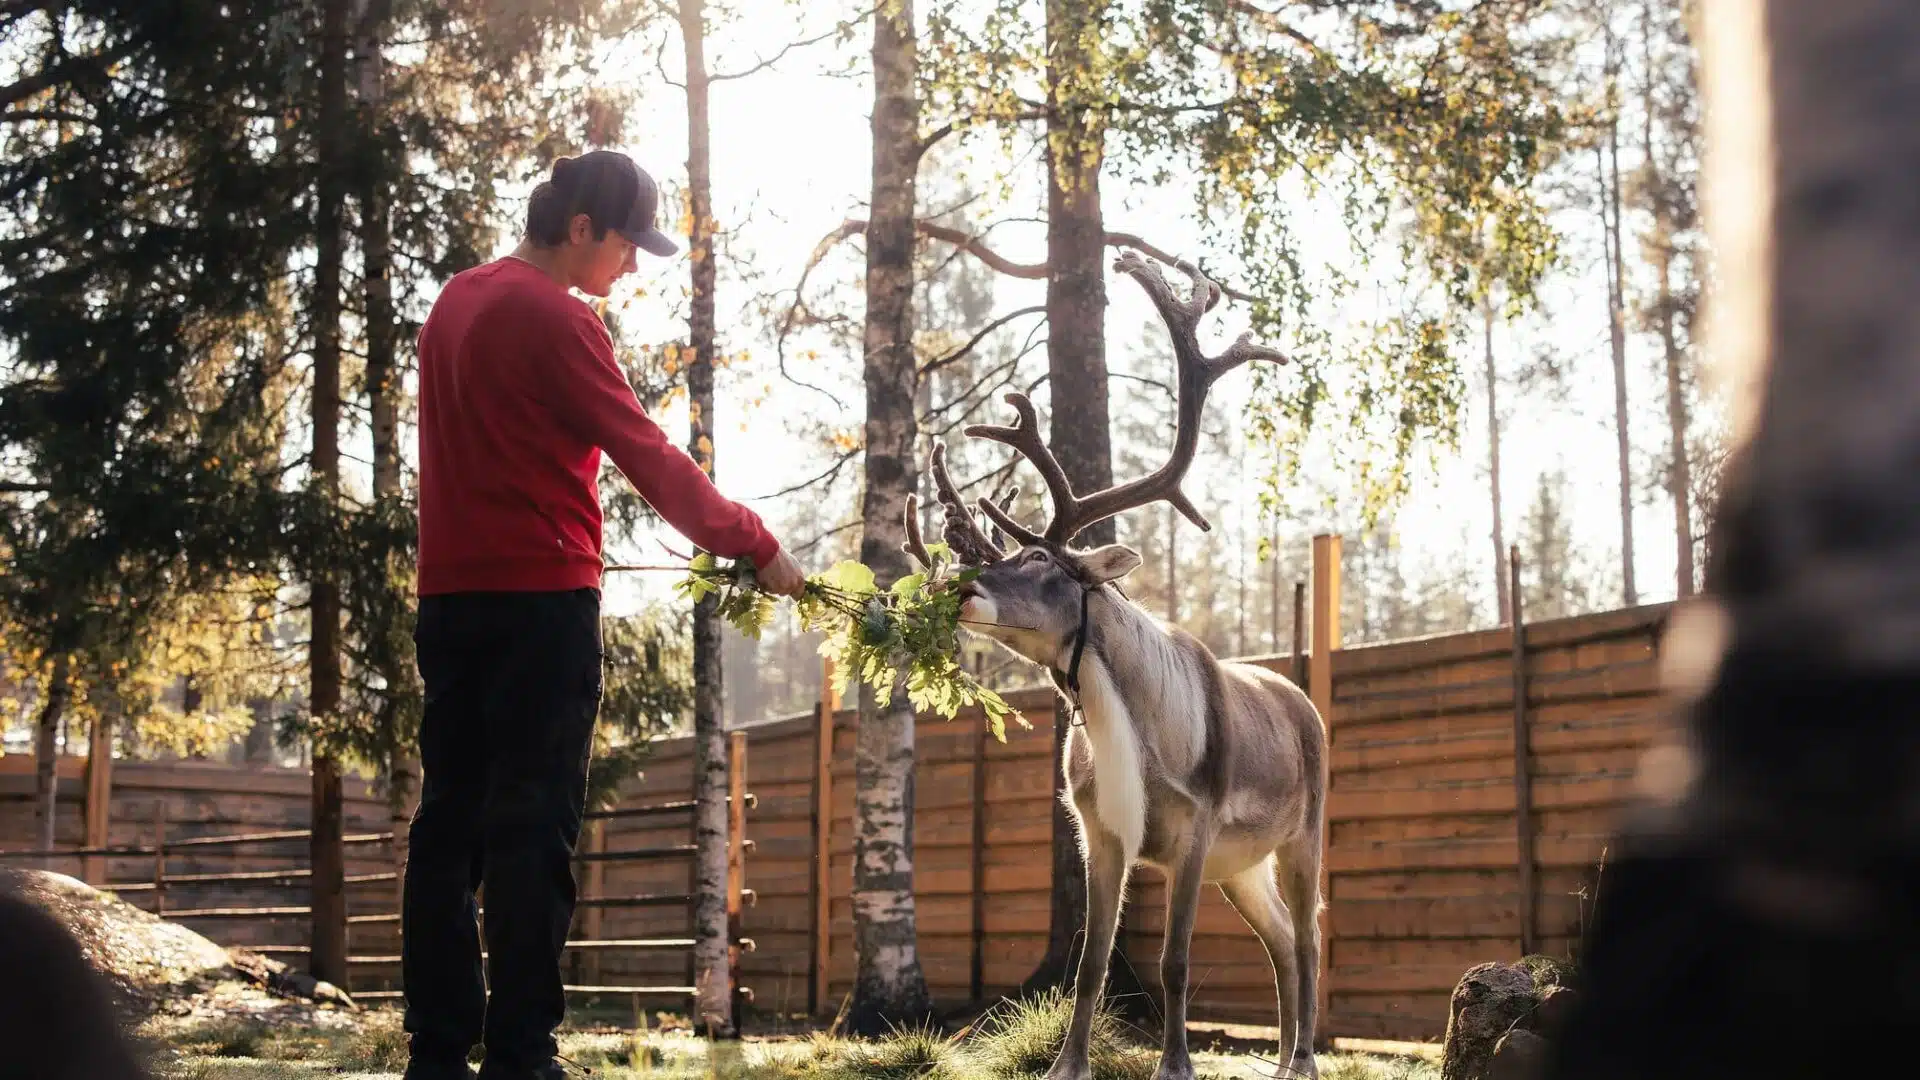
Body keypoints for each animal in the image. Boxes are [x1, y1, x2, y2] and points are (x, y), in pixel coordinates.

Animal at [903, 251, 1328, 1080]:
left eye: (1040, 558)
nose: (958, 587)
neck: (1135, 733)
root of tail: (1303, 703)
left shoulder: (1198, 828)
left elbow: (1174, 960)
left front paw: (1176, 1065)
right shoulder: (1098, 831)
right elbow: (1090, 963)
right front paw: (1066, 1066)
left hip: (1302, 835)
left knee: (1311, 935)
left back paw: (1304, 1060)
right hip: (1244, 865)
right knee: (1280, 940)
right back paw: (1283, 1056)